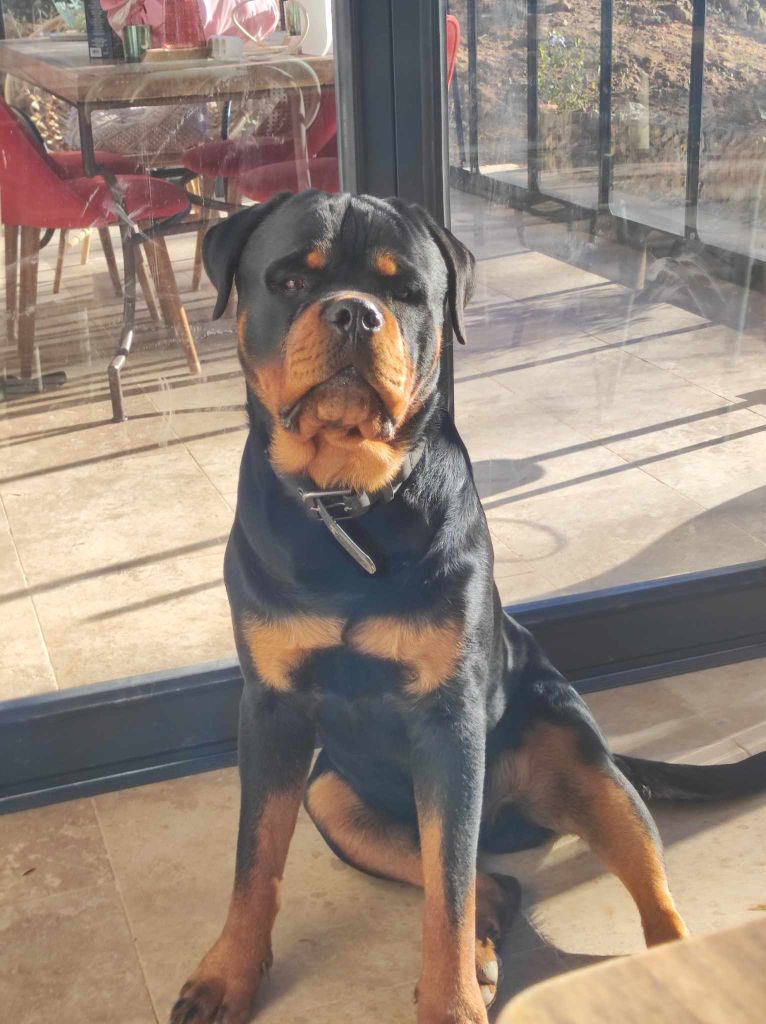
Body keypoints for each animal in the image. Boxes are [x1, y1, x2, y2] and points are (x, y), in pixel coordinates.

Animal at [171, 191, 766, 1024]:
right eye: (289, 280)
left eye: (407, 291)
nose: (354, 313)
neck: (349, 502)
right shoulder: (271, 709)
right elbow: (255, 859)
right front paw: (226, 974)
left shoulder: (448, 723)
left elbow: (444, 895)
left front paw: (448, 1001)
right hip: (334, 796)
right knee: (493, 880)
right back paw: (489, 942)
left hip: (582, 761)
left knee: (644, 892)